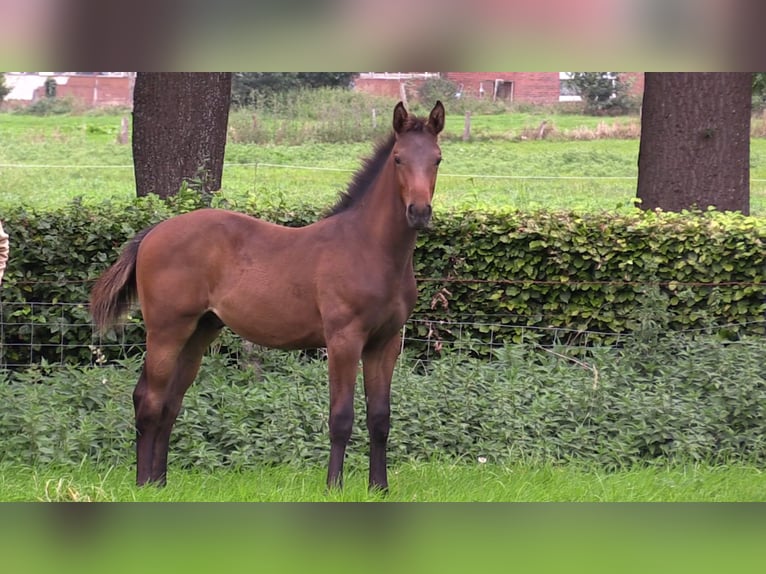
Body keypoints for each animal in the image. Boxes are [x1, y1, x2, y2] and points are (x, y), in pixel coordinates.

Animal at [91, 101, 448, 492]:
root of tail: (154, 231)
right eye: (398, 158)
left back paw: (160, 482)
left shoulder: (385, 343)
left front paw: (379, 488)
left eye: (437, 158)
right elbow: (341, 417)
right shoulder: (344, 339)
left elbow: (380, 419)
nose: (419, 212)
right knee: (149, 400)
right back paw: (144, 483)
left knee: (170, 403)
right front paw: (334, 486)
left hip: (199, 332)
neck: (371, 248)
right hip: (167, 330)